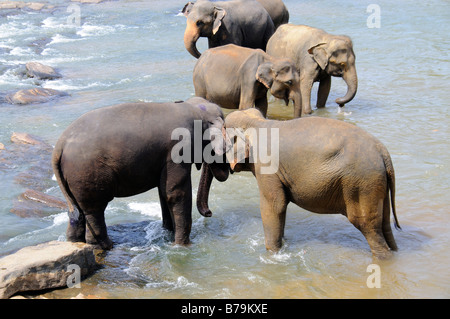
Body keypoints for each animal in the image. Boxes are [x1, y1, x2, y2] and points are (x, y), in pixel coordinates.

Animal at [51, 97, 230, 250]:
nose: (209, 213)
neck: (193, 108)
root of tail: (59, 145)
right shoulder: (177, 150)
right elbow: (176, 193)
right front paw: (182, 246)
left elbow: (163, 192)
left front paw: (168, 235)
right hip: (86, 172)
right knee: (94, 209)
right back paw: (107, 246)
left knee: (78, 213)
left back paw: (77, 241)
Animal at [200, 108, 400, 260]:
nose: (209, 213)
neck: (257, 122)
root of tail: (383, 152)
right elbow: (281, 208)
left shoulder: (267, 167)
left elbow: (274, 206)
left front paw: (273, 254)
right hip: (376, 185)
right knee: (384, 225)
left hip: (361, 183)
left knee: (366, 225)